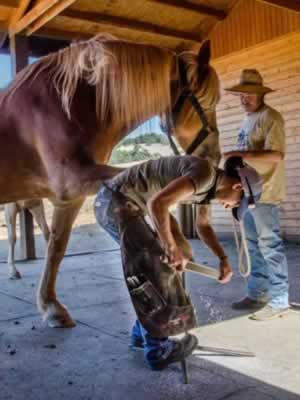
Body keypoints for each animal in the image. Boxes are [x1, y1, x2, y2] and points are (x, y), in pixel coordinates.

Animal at [0, 35, 220, 328]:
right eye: (210, 102)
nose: (214, 155)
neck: (69, 103)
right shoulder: (71, 179)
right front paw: (179, 244)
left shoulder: (69, 197)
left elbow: (56, 248)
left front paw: (51, 307)